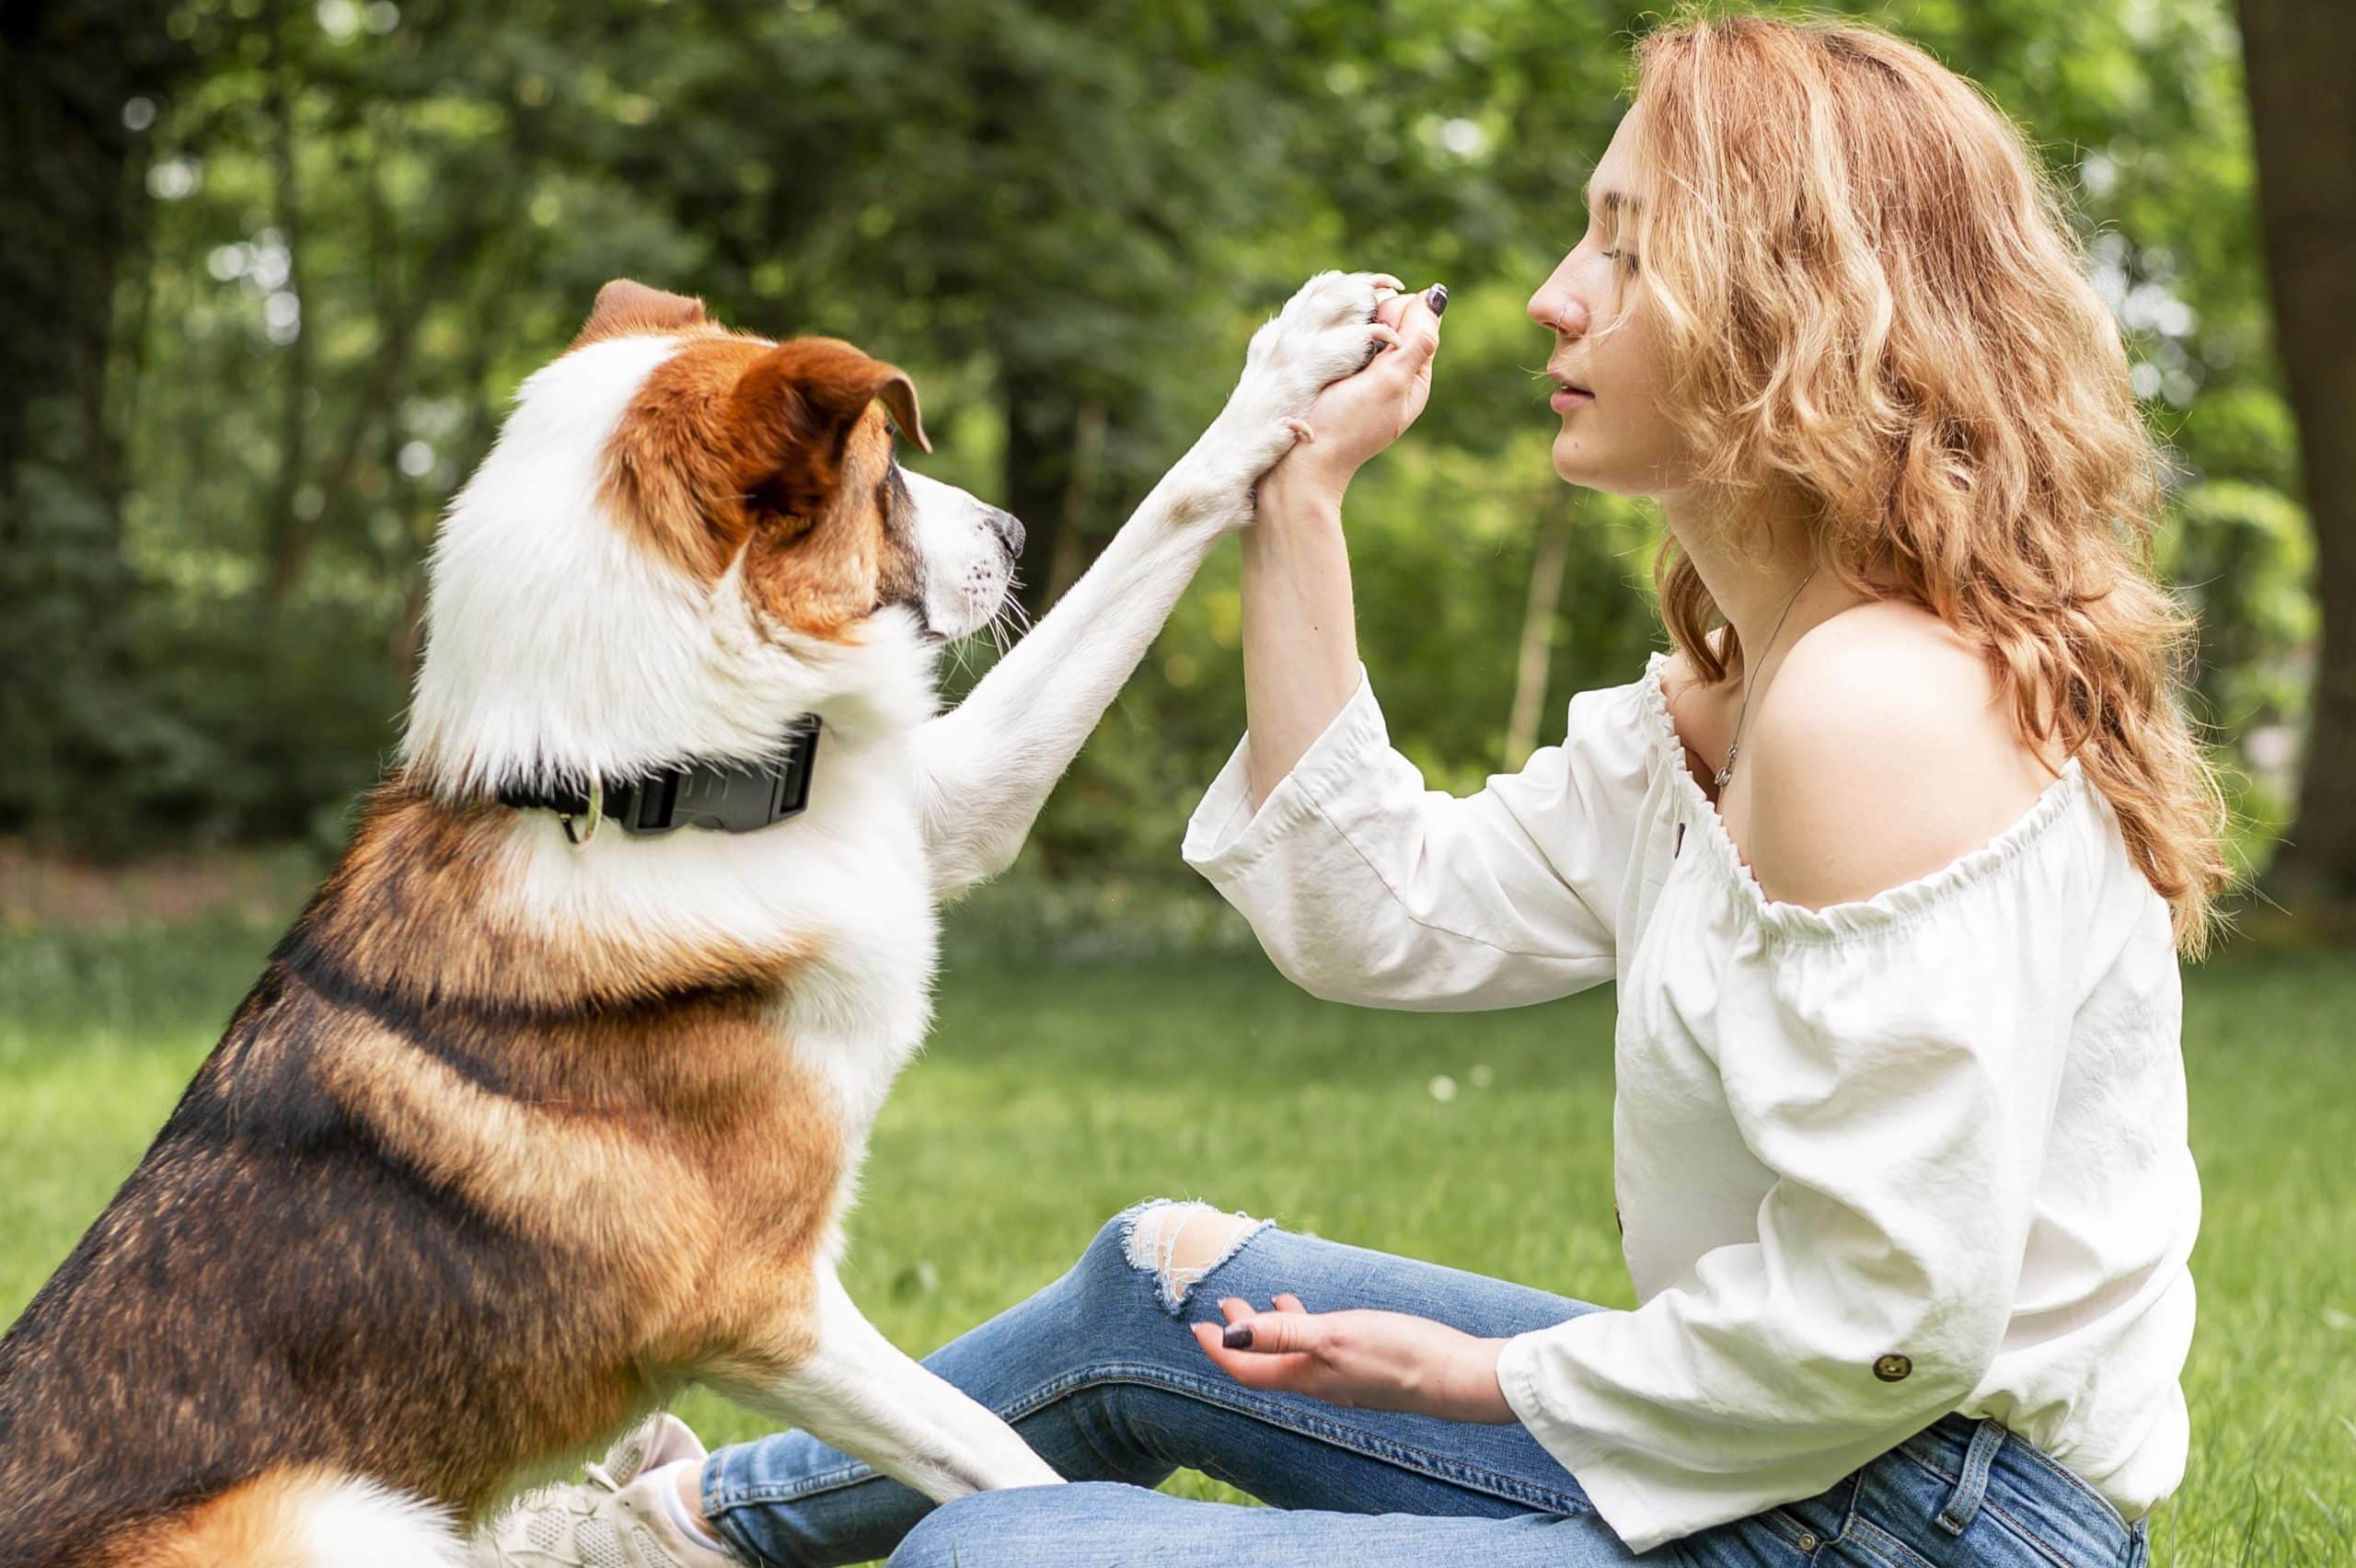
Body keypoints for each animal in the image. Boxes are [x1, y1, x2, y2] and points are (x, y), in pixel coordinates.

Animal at [0, 271, 1385, 1562]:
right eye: (883, 475)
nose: (1013, 524)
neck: (638, 794)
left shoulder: (941, 809)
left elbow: (1158, 524)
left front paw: (1298, 366)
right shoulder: (769, 1313)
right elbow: (1009, 1466)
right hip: (341, 1514)